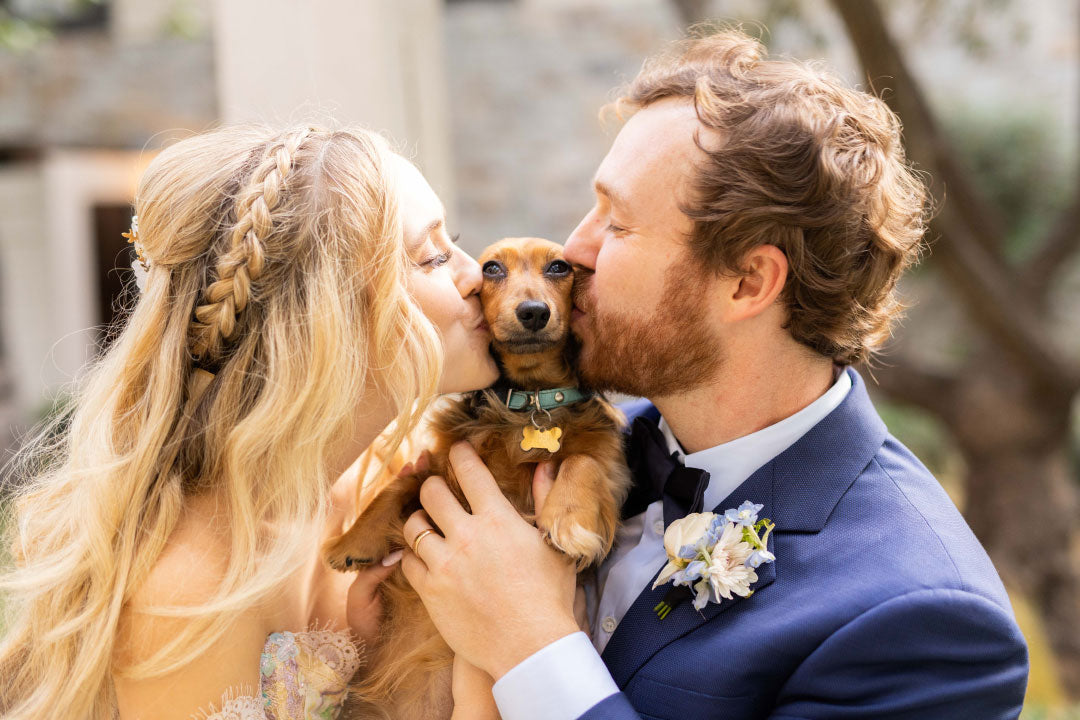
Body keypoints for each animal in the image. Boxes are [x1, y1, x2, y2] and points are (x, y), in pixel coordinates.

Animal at [319, 237, 630, 720]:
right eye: (492, 269)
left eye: (560, 267)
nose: (534, 312)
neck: (531, 402)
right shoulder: (440, 463)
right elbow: (402, 483)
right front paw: (354, 541)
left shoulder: (614, 474)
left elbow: (584, 462)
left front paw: (570, 523)